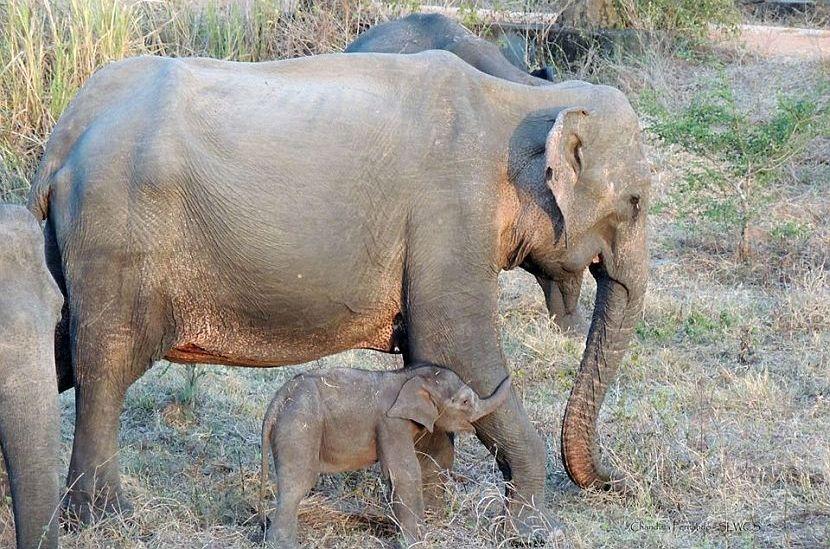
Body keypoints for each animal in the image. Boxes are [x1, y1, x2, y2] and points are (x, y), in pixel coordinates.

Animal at [260, 362, 510, 544]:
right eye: (465, 401)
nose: (508, 377)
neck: (408, 376)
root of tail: (277, 401)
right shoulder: (391, 423)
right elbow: (405, 471)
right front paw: (416, 541)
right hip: (299, 426)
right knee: (297, 483)